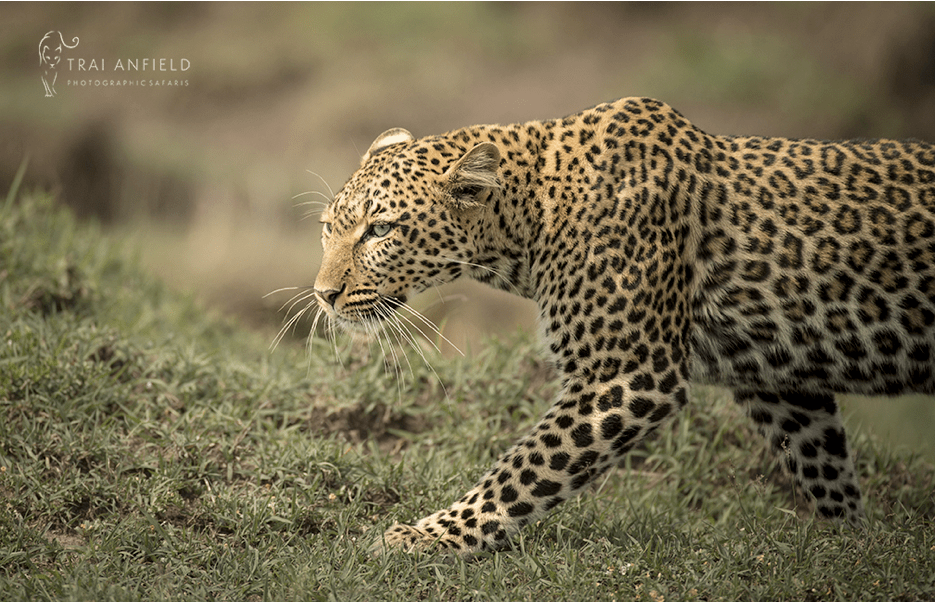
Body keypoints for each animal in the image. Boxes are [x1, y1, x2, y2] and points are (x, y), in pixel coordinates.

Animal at [311, 97, 935, 557]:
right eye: (328, 228)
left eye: (380, 230)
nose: (323, 294)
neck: (529, 222)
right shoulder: (776, 380)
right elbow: (823, 466)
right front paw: (854, 547)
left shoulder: (626, 375)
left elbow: (524, 468)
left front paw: (428, 537)